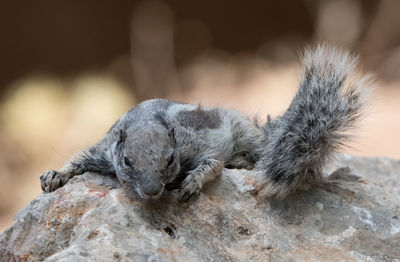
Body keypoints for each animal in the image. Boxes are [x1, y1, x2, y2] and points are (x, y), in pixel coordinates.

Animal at [39, 45, 370, 201]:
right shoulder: (105, 147)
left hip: (250, 136)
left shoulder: (194, 146)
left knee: (266, 153)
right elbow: (78, 157)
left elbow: (212, 163)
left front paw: (191, 183)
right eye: (126, 161)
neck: (147, 123)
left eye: (170, 160)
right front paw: (54, 175)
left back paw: (245, 160)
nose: (151, 191)